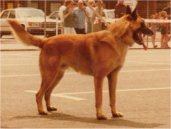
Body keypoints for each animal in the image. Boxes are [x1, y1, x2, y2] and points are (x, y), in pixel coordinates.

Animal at [7, 5, 152, 119]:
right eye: (143, 23)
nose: (153, 32)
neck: (117, 37)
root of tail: (46, 40)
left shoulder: (113, 77)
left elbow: (113, 98)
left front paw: (114, 113)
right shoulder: (99, 77)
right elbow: (99, 98)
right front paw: (100, 115)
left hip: (57, 76)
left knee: (47, 93)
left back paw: (49, 108)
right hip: (50, 75)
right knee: (39, 94)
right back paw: (42, 111)